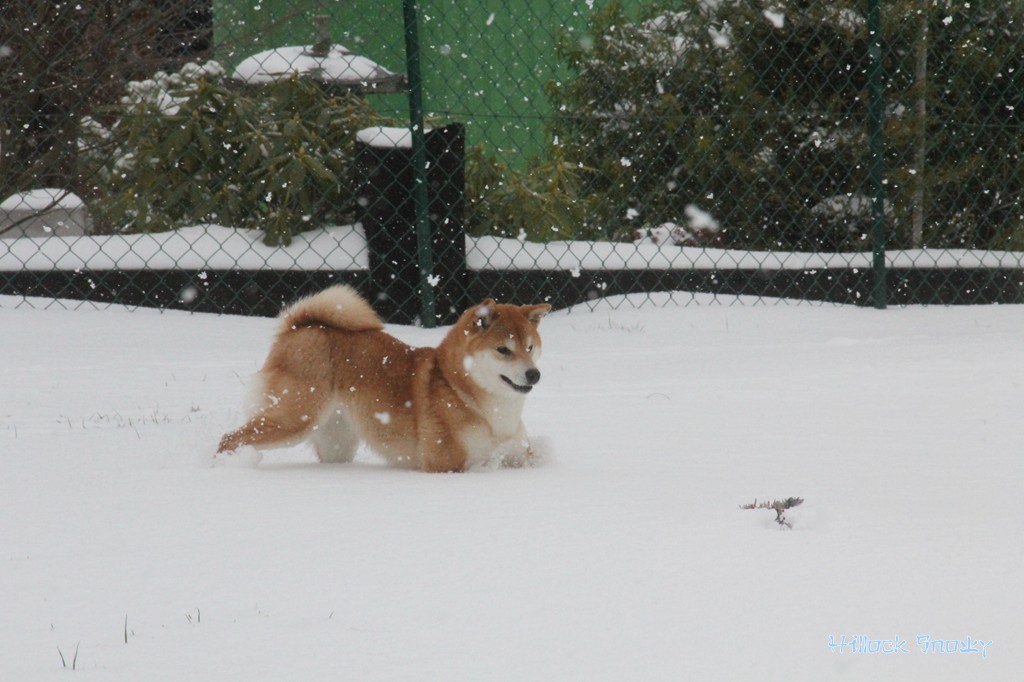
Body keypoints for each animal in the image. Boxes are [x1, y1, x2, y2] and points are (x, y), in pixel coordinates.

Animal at [218, 284, 552, 471]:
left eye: (530, 347)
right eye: (503, 350)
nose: (534, 374)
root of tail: (298, 328)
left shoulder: (517, 454)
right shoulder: (446, 464)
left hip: (336, 439)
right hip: (295, 419)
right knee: (229, 439)